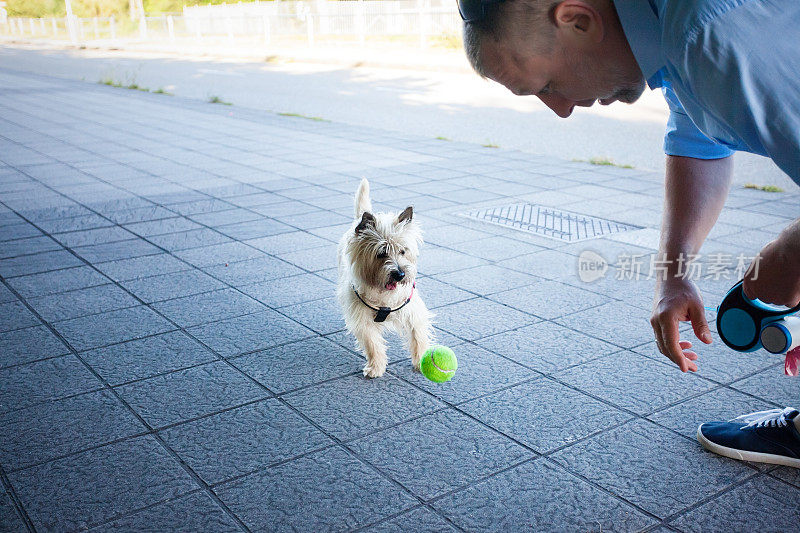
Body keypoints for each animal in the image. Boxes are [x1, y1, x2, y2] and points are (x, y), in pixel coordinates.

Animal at [340, 179, 438, 378]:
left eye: (403, 251)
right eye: (381, 253)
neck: (384, 294)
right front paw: (376, 366)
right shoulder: (362, 318)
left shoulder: (413, 311)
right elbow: (372, 342)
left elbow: (418, 335)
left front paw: (421, 361)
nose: (400, 274)